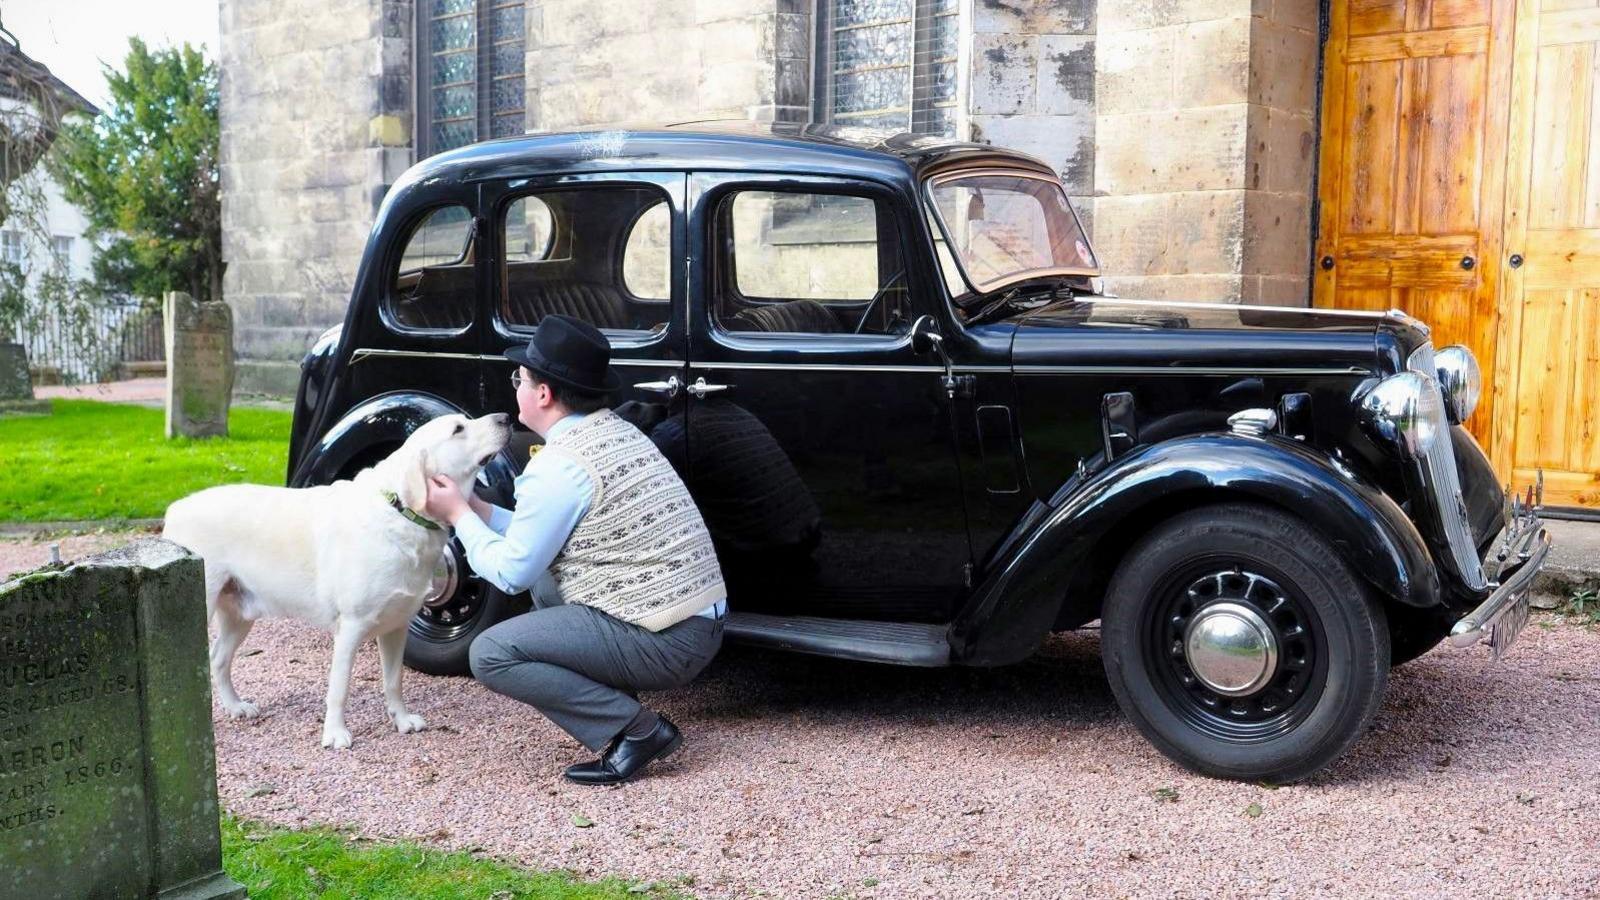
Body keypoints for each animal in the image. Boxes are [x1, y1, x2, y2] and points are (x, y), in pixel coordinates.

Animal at [162, 409, 512, 746]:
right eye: (458, 429)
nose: (506, 417)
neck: (401, 512)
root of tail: (174, 509)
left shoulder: (397, 626)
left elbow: (393, 680)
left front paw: (401, 720)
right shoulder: (351, 627)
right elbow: (339, 688)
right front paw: (335, 734)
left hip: (240, 614)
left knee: (218, 660)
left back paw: (235, 707)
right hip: (203, 608)